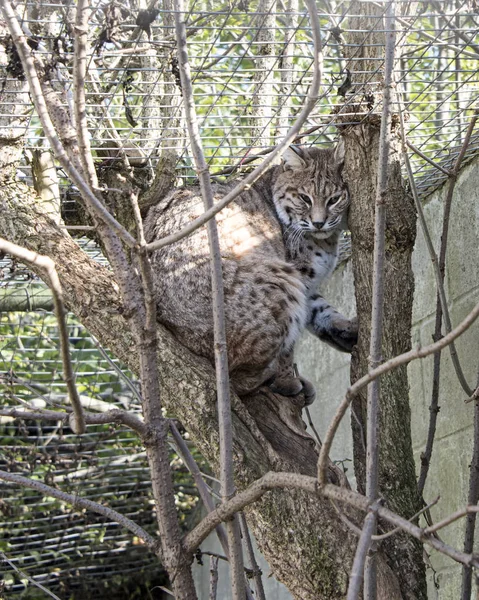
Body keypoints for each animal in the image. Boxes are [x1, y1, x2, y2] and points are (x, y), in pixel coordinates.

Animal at [144, 141, 358, 404]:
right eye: (304, 199)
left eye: (334, 199)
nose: (319, 223)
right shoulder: (297, 274)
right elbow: (291, 343)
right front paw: (287, 379)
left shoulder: (306, 284)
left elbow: (320, 309)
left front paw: (345, 329)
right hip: (277, 277)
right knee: (235, 381)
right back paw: (274, 377)